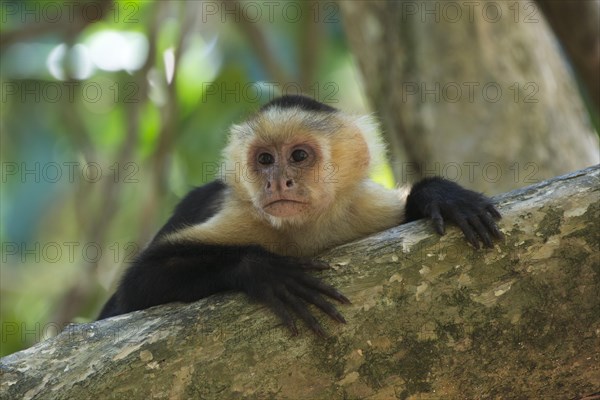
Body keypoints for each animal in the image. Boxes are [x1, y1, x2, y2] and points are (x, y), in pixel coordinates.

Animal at [98, 95, 502, 336]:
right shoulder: (243, 214)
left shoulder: (363, 208)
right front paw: (265, 270)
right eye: (264, 159)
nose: (278, 181)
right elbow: (137, 285)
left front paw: (440, 196)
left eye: (298, 156)